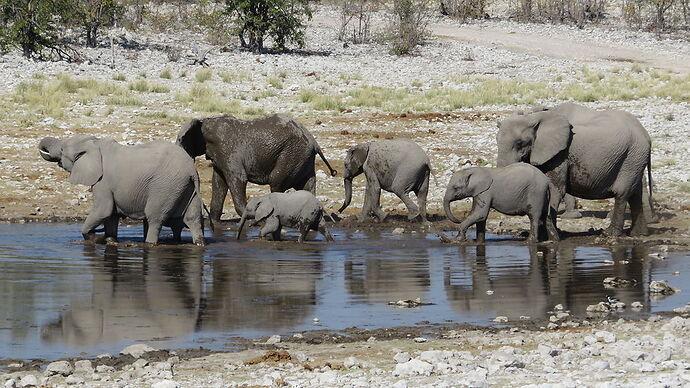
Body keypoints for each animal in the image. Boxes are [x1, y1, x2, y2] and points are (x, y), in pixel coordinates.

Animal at [38, 136, 204, 246]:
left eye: (61, 150)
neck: (96, 144)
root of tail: (191, 170)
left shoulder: (103, 182)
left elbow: (103, 211)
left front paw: (95, 239)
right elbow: (111, 215)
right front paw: (110, 240)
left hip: (165, 186)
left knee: (154, 218)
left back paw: (149, 244)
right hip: (185, 187)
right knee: (193, 218)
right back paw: (199, 243)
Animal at [175, 112, 336, 221]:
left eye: (180, 141)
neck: (204, 123)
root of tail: (314, 143)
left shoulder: (228, 151)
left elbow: (238, 179)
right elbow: (218, 183)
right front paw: (214, 221)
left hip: (291, 154)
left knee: (276, 182)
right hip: (303, 159)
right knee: (307, 186)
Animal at [494, 102, 652, 236]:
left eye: (520, 143)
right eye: (496, 140)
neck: (535, 116)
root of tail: (646, 135)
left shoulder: (560, 154)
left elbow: (555, 189)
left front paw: (549, 235)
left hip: (632, 157)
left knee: (622, 193)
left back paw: (609, 234)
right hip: (634, 159)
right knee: (635, 193)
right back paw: (638, 234)